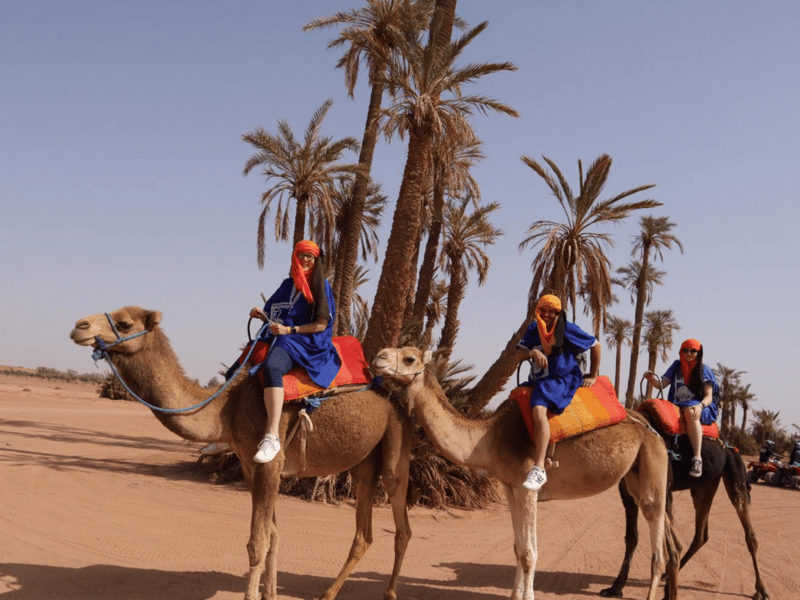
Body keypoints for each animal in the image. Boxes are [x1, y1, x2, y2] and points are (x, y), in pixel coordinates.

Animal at [70, 306, 412, 600]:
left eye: (126, 323)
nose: (79, 326)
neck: (229, 406)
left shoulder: (270, 464)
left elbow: (257, 542)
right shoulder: (250, 466)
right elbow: (273, 535)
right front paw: (269, 593)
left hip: (395, 442)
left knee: (401, 522)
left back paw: (385, 593)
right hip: (364, 463)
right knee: (365, 534)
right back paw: (330, 593)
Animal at [371, 347, 679, 600]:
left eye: (409, 358)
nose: (378, 357)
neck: (490, 437)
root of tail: (651, 428)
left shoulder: (528, 489)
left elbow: (530, 553)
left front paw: (527, 596)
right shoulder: (510, 488)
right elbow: (518, 549)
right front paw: (515, 594)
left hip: (652, 460)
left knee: (656, 537)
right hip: (635, 474)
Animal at [602, 433, 770, 600]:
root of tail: (730, 447)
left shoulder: (661, 486)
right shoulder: (626, 486)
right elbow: (632, 537)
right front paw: (615, 587)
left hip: (735, 473)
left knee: (748, 530)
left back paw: (762, 590)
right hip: (704, 487)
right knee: (701, 534)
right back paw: (667, 578)